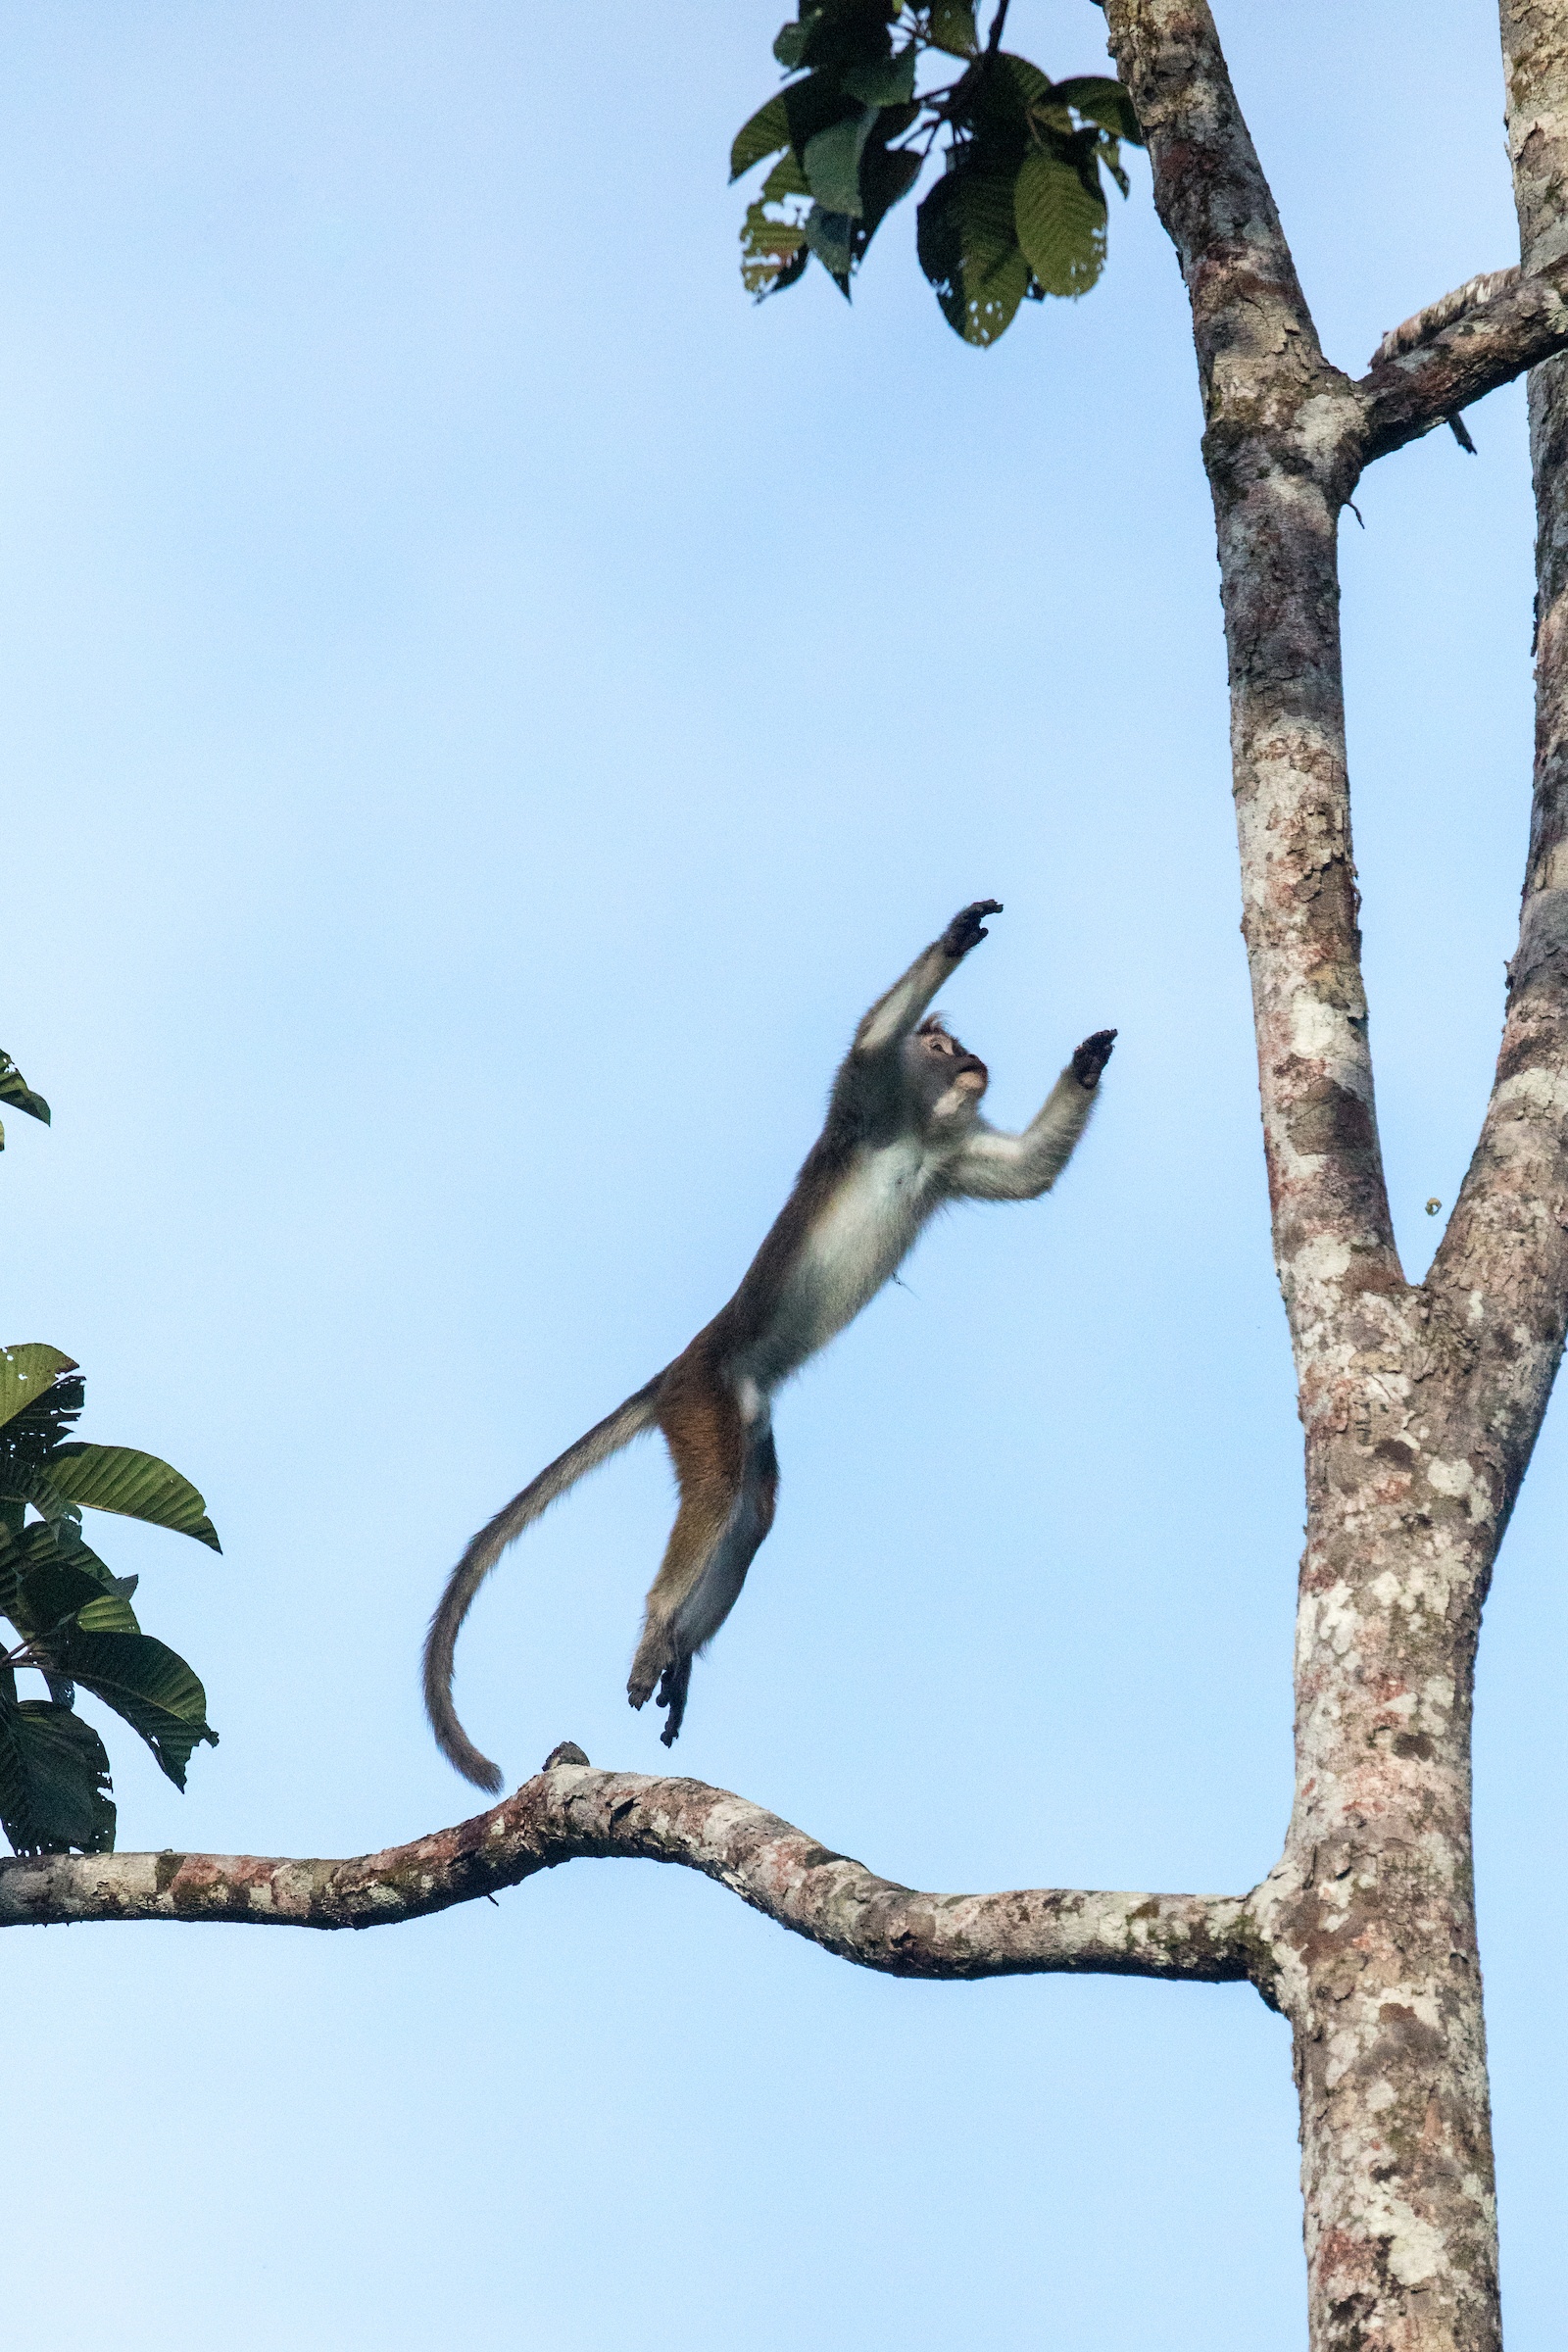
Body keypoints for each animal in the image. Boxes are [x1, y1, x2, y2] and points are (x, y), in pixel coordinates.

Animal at [423, 901, 1116, 1791]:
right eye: (941, 1048)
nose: (972, 1063)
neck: (920, 1132)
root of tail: (680, 1367)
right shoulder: (863, 1103)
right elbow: (869, 1042)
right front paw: (959, 936)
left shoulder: (951, 1160)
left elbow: (1029, 1173)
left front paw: (1088, 1064)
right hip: (704, 1399)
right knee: (718, 1491)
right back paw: (658, 1627)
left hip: (742, 1411)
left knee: (751, 1513)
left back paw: (681, 1648)